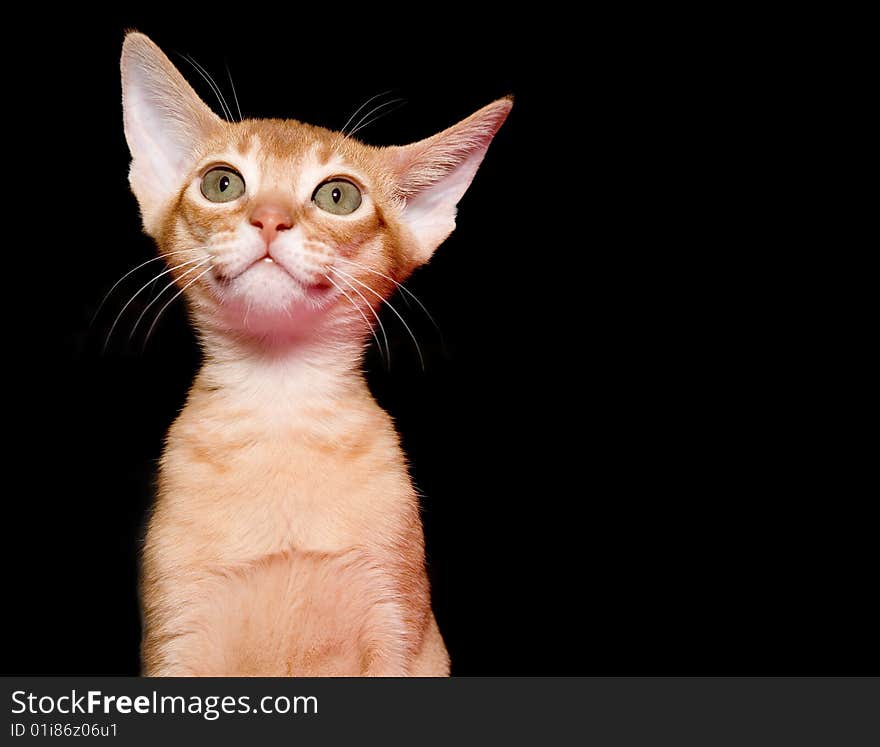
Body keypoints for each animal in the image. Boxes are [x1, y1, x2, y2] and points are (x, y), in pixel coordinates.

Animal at [120, 30, 512, 676]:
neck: (280, 404)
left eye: (337, 195)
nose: (270, 219)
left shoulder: (399, 630)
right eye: (222, 183)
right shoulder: (175, 641)